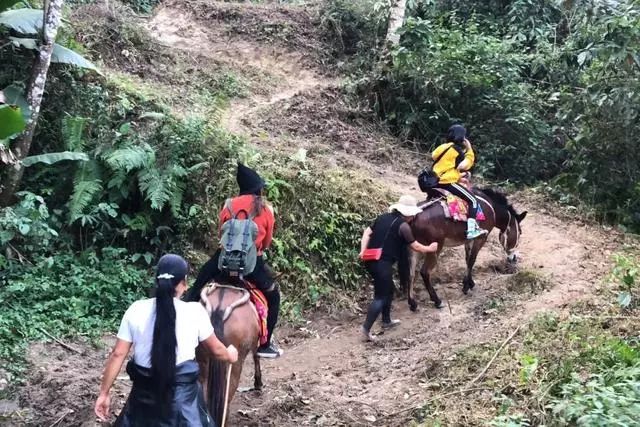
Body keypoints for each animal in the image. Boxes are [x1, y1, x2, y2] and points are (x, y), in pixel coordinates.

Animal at [196, 284, 264, 427]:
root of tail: (219, 310)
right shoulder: (256, 341)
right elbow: (256, 355)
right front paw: (258, 383)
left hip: (202, 359)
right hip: (235, 362)